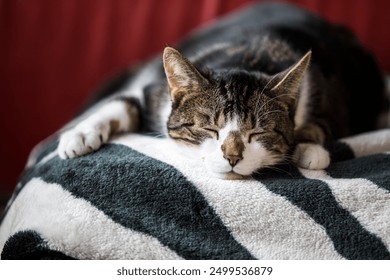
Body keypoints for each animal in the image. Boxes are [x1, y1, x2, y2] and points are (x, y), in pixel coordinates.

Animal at [57, 2, 386, 179]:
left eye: (258, 132)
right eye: (209, 129)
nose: (232, 157)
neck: (246, 57)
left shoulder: (335, 101)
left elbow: (319, 126)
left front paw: (308, 149)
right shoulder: (156, 94)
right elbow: (124, 103)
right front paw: (80, 135)